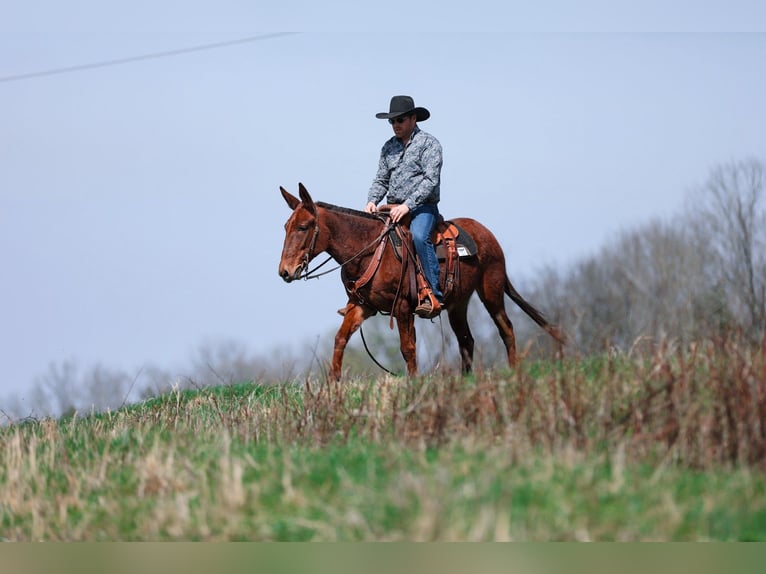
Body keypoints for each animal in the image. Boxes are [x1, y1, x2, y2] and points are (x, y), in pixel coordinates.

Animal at [278, 183, 565, 380]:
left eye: (303, 227)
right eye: (286, 226)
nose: (285, 271)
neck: (369, 250)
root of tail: (488, 235)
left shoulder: (403, 307)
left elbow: (408, 348)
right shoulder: (362, 307)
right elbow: (340, 340)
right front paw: (332, 386)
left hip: (491, 293)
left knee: (506, 329)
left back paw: (514, 373)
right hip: (458, 304)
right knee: (466, 340)